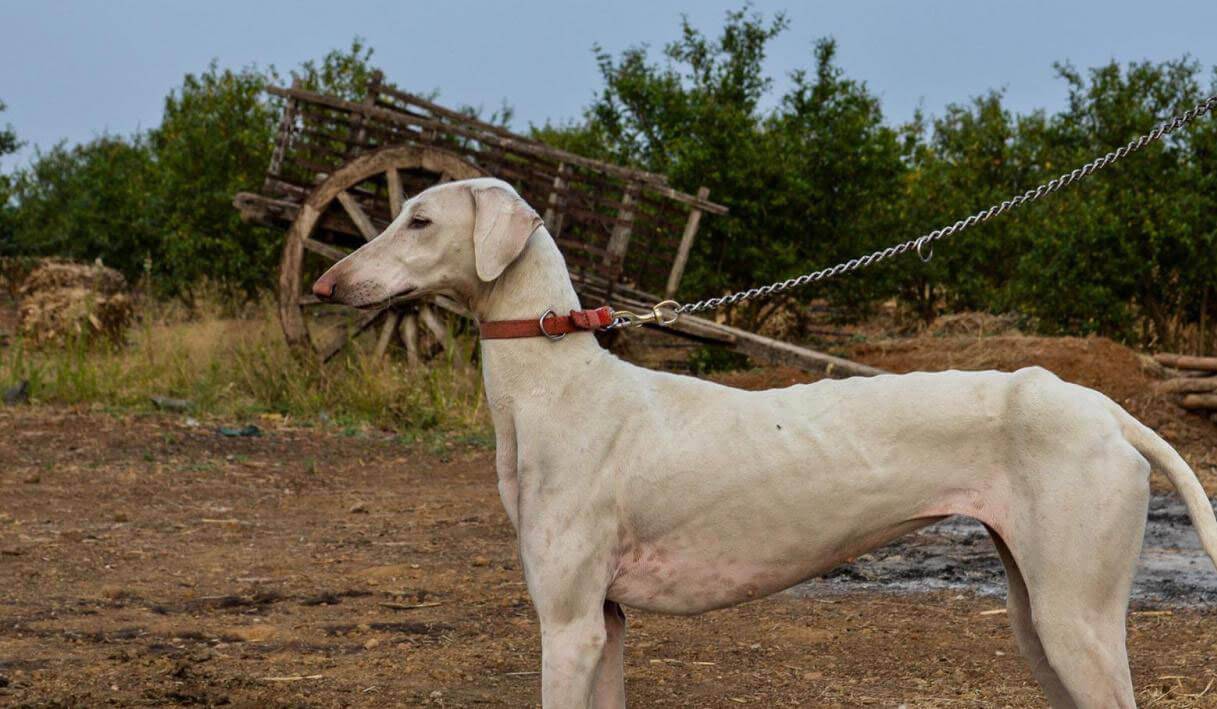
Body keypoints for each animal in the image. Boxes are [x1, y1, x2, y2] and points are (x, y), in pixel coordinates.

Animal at [311, 178, 1217, 709]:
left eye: (419, 219)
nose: (324, 283)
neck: (559, 384)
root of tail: (1103, 407)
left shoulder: (566, 624)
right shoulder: (604, 622)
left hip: (1076, 619)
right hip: (1038, 616)